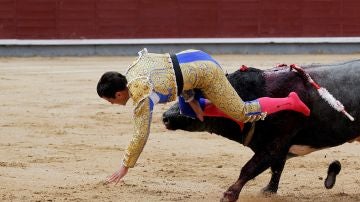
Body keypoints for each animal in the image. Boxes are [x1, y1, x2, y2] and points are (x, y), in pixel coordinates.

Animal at [162, 59, 360, 201]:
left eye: (193, 100)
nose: (165, 117)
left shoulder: (275, 143)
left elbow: (250, 168)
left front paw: (229, 195)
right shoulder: (277, 147)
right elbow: (276, 168)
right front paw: (268, 191)